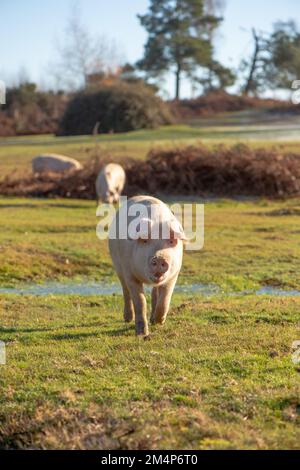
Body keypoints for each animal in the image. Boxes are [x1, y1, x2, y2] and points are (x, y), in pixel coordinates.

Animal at [109, 196, 186, 338]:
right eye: (145, 241)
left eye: (171, 241)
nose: (159, 257)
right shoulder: (130, 273)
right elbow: (140, 301)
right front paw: (142, 334)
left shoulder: (174, 274)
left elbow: (165, 299)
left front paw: (159, 322)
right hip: (118, 267)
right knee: (125, 290)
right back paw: (128, 319)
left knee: (156, 292)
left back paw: (153, 319)